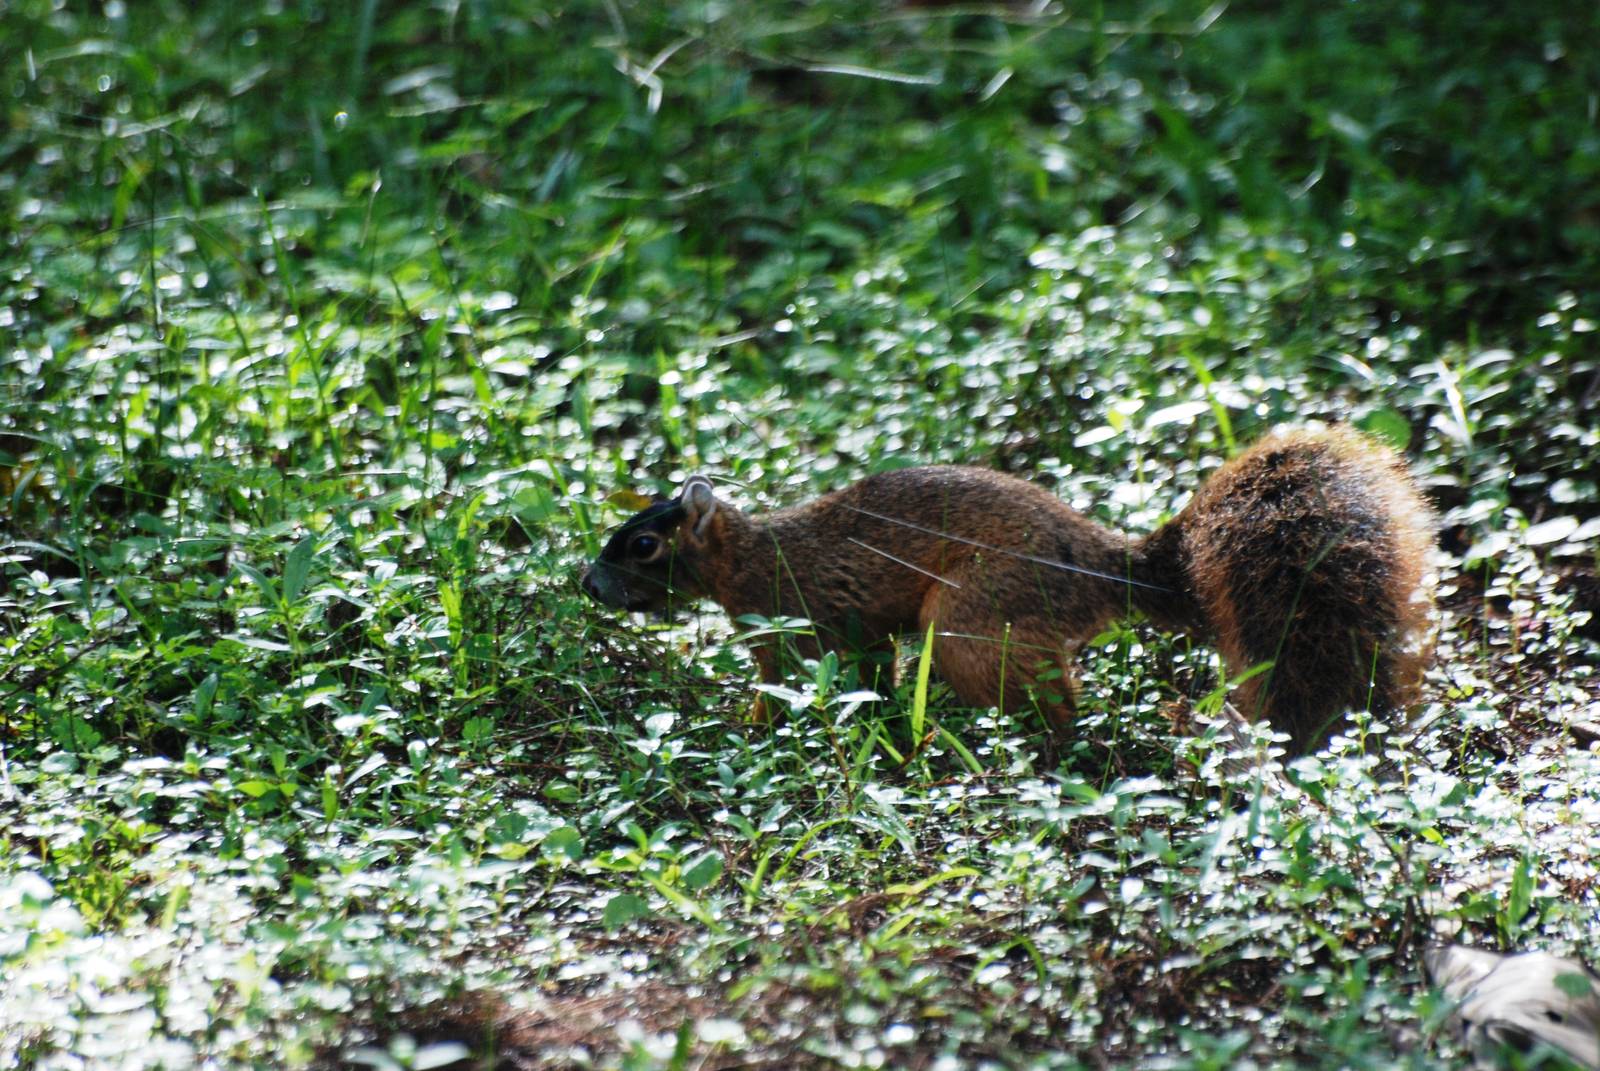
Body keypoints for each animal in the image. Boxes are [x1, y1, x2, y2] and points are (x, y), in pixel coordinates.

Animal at [581, 426, 1436, 754]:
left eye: (645, 545)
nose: (588, 585)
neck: (751, 557)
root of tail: (1098, 562)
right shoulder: (857, 636)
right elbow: (868, 677)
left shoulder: (788, 631)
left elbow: (780, 691)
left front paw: (743, 728)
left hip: (970, 619)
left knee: (1052, 704)